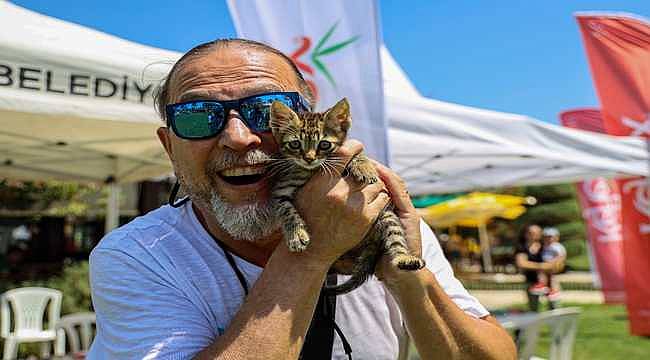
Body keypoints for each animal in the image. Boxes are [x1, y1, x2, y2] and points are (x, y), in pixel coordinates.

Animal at [266, 98, 422, 296]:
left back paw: (404, 258)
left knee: (395, 238)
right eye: (295, 144)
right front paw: (296, 234)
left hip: (387, 215)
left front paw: (364, 166)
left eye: (324, 144)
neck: (312, 171)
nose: (309, 158)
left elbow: (357, 155)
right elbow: (286, 210)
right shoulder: (280, 191)